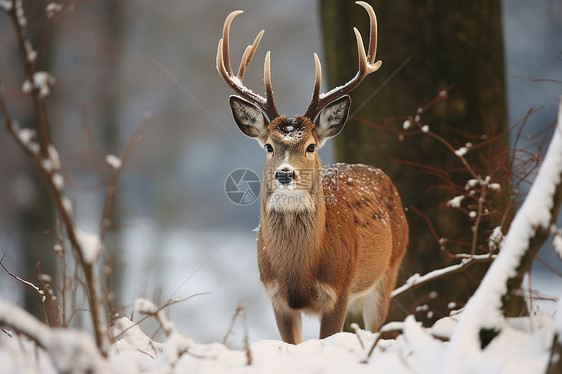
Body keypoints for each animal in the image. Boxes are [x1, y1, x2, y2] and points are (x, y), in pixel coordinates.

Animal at [215, 2, 406, 344]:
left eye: (312, 146)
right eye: (269, 146)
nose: (285, 174)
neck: (298, 273)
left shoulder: (339, 290)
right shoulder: (275, 296)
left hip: (389, 271)